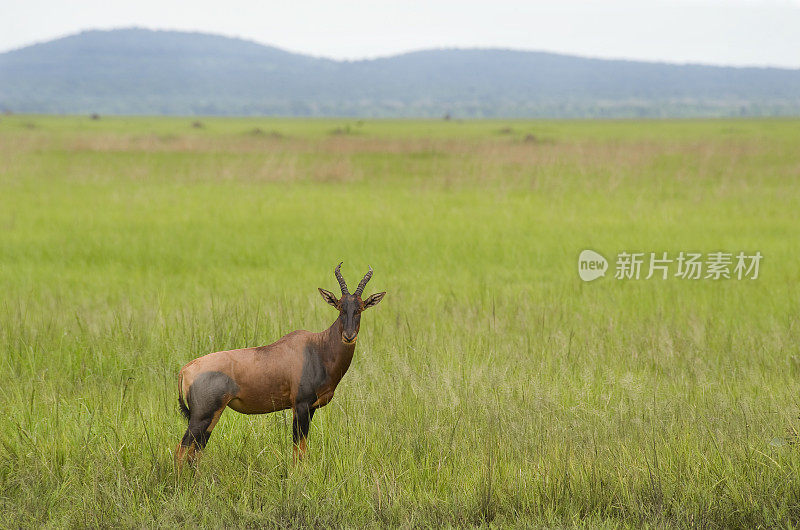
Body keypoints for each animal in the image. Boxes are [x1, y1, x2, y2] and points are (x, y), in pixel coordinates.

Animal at [176, 262, 388, 464]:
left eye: (360, 308)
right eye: (340, 307)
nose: (349, 336)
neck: (318, 347)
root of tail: (186, 369)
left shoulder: (310, 408)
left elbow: (302, 449)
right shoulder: (300, 405)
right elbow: (298, 450)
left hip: (211, 416)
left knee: (195, 451)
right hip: (202, 415)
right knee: (182, 449)